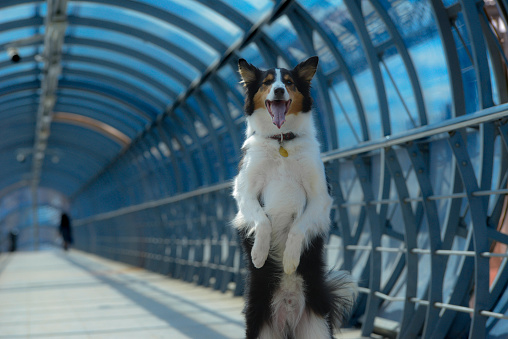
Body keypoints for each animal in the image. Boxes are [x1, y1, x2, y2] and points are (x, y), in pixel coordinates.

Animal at [231, 56, 356, 339]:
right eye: (267, 82)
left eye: (288, 82)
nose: (279, 91)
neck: (281, 141)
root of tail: (287, 312)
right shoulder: (244, 192)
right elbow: (262, 221)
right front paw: (258, 255)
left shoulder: (320, 197)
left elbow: (298, 228)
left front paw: (289, 261)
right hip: (261, 327)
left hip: (316, 327)